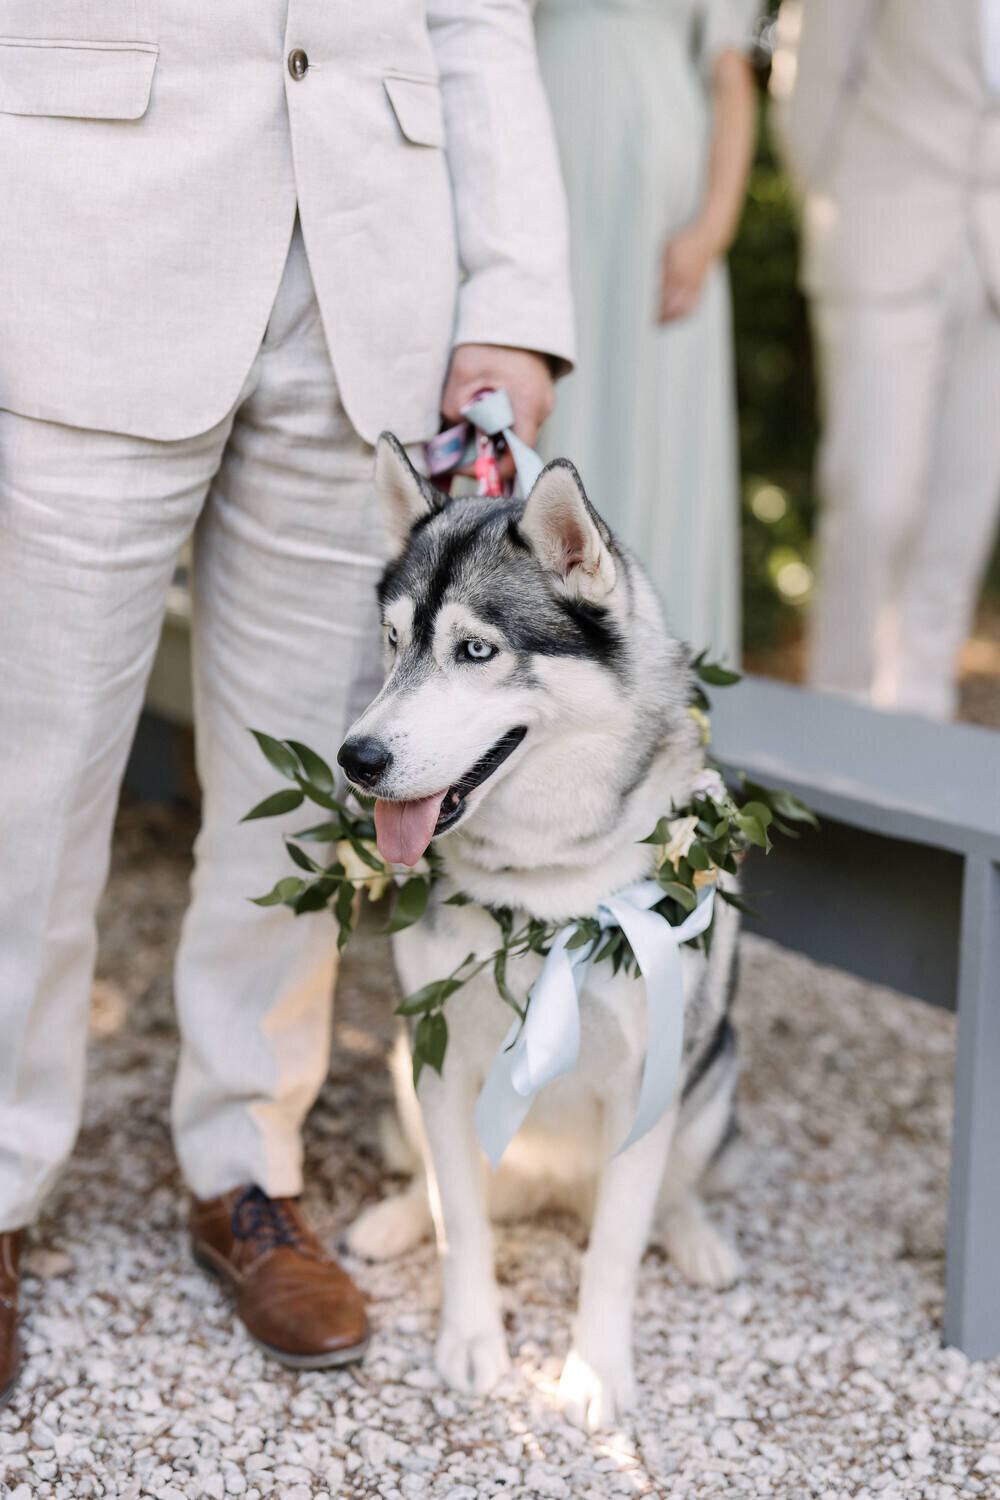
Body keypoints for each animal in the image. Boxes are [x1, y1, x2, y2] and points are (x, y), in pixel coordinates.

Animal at [338, 438, 743, 1428]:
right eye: (394, 642)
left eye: (475, 651)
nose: (355, 759)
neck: (546, 896)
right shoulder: (441, 1065)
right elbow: (461, 1222)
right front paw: (473, 1340)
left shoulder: (646, 1084)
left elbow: (615, 1252)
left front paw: (594, 1371)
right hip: (402, 1075)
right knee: (437, 1187)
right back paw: (396, 1217)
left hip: (714, 1078)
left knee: (672, 1192)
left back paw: (696, 1238)